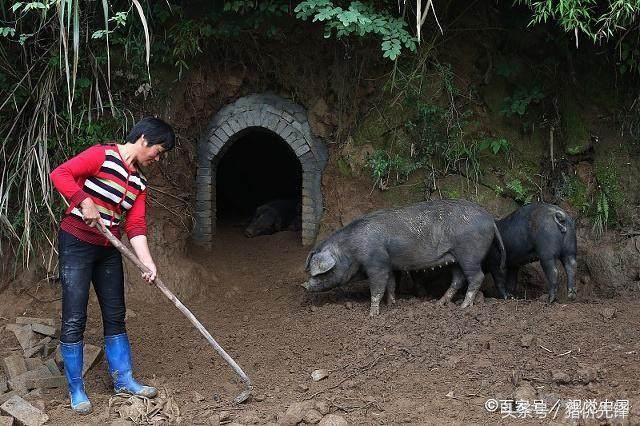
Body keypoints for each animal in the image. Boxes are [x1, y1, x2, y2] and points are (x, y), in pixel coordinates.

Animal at [300, 200, 504, 316]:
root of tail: (490, 220)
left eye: (321, 273)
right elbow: (390, 284)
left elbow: (377, 287)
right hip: (455, 257)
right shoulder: (389, 264)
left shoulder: (377, 263)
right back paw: (440, 303)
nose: (304, 286)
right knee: (458, 279)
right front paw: (392, 304)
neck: (351, 250)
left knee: (476, 276)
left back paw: (464, 307)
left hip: (470, 253)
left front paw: (373, 314)